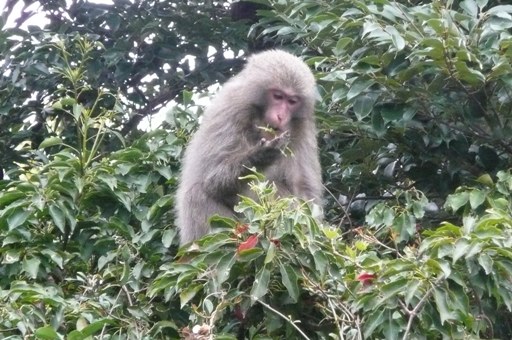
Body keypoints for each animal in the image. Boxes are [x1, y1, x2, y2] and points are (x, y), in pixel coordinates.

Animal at [175, 49, 320, 244]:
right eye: (278, 96)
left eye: (292, 101)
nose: (281, 116)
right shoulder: (232, 109)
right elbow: (211, 180)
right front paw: (260, 155)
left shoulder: (302, 128)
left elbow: (304, 192)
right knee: (197, 195)